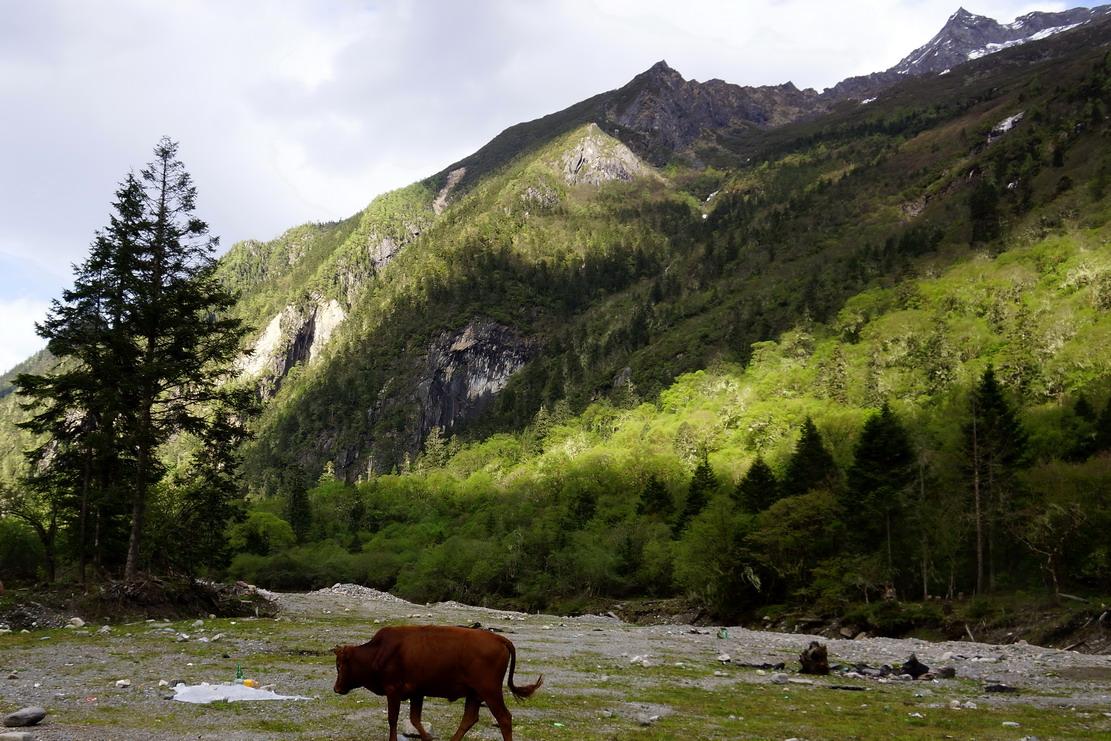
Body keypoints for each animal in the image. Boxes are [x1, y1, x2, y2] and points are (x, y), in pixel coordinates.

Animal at [331, 626, 539, 741]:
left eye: (339, 665)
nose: (336, 688)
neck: (378, 651)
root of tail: (499, 638)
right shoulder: (417, 693)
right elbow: (415, 719)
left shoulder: (394, 690)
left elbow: (393, 719)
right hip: (474, 694)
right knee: (469, 718)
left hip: (490, 692)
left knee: (504, 717)